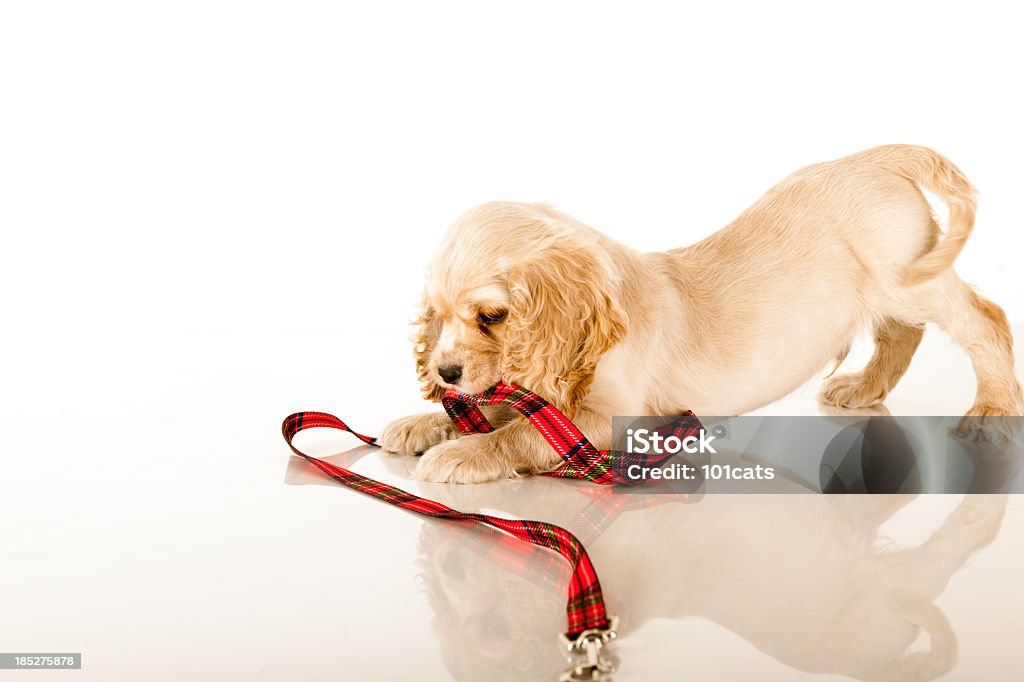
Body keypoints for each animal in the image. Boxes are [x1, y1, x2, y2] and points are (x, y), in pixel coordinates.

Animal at [378, 145, 1024, 481]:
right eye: (439, 316)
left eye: (491, 316)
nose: (444, 373)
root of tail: (876, 159)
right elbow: (501, 409)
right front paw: (423, 422)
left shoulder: (616, 421)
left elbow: (524, 433)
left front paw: (463, 452)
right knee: (902, 334)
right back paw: (863, 387)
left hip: (908, 275)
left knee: (985, 318)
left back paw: (994, 408)